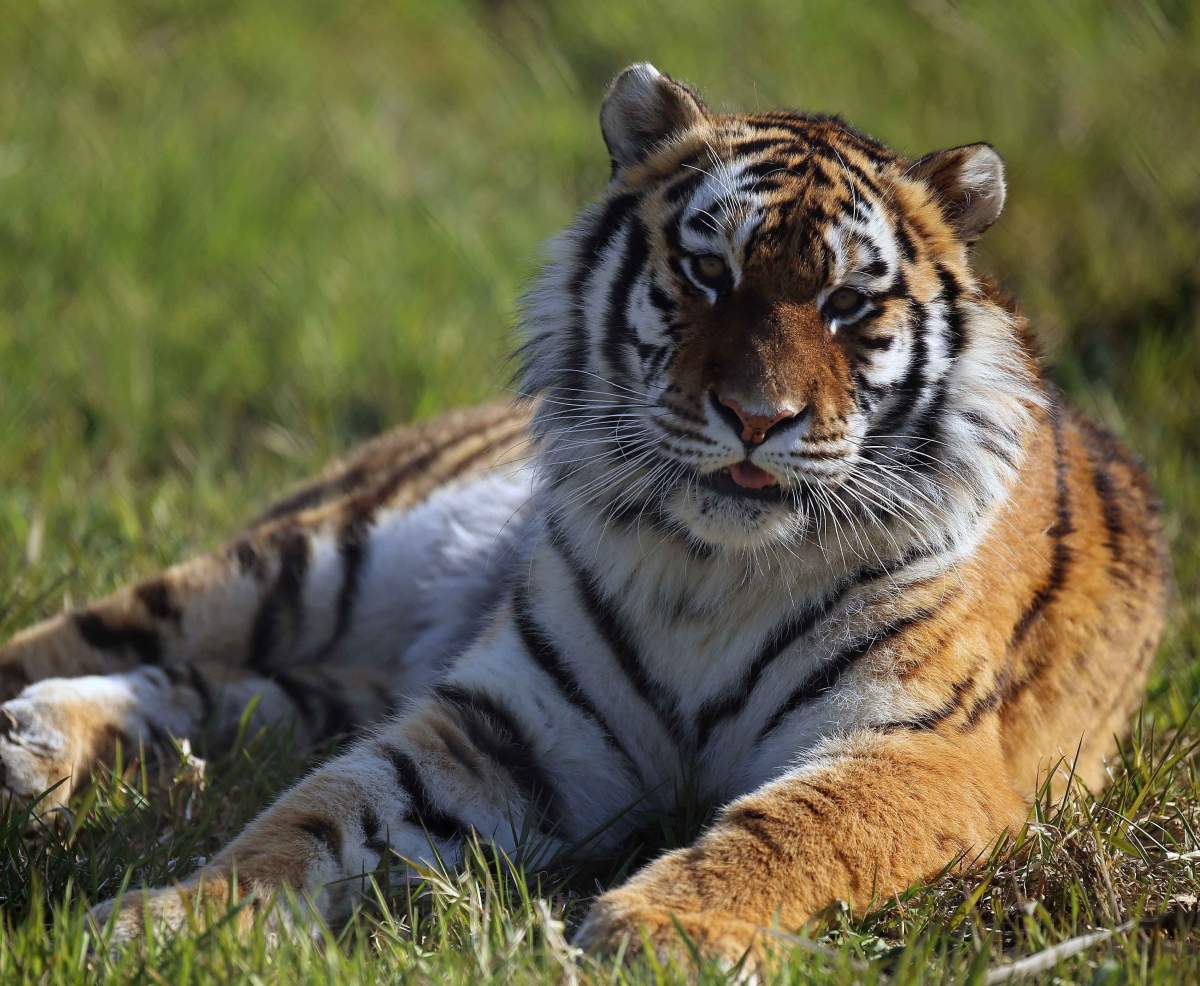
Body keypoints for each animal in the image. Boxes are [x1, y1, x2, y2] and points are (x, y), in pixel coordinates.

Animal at [0, 64, 1167, 969]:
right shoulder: (513, 722)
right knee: (109, 641)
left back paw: (39, 742)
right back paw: (30, 738)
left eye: (846, 305)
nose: (756, 417)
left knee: (211, 694)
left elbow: (793, 833)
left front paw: (661, 934)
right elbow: (315, 810)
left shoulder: (917, 749)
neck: (718, 572)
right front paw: (174, 922)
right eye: (708, 271)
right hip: (321, 562)